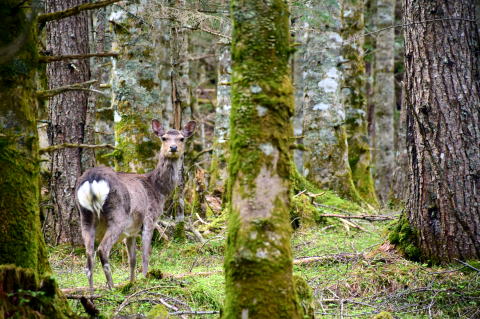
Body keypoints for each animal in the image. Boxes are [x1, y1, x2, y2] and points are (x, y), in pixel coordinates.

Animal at [75, 119, 195, 290]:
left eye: (182, 138)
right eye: (164, 138)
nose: (173, 148)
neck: (158, 190)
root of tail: (93, 179)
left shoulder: (131, 230)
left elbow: (132, 259)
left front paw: (132, 283)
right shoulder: (150, 218)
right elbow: (145, 253)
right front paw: (145, 278)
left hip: (85, 215)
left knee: (89, 254)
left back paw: (92, 291)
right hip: (118, 215)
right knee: (102, 249)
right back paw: (112, 288)